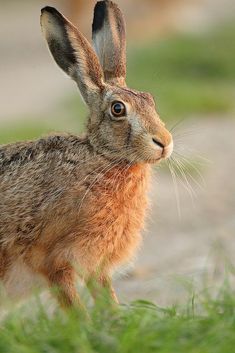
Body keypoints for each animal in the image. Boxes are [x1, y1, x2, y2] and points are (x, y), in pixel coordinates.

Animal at [0, 1, 173, 306]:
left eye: (150, 99)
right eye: (118, 109)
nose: (164, 142)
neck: (103, 159)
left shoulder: (97, 266)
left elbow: (108, 304)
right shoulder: (55, 261)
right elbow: (76, 310)